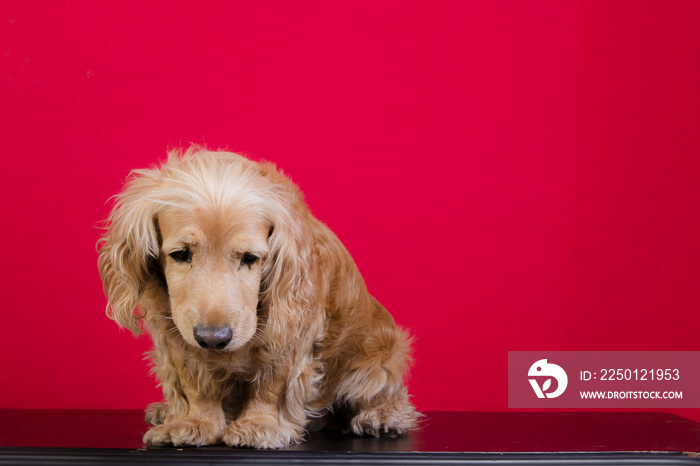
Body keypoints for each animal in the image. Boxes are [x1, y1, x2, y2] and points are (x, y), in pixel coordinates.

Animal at [97, 147, 416, 450]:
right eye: (180, 254)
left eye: (250, 258)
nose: (213, 338)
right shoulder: (175, 331)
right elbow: (194, 381)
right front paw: (194, 422)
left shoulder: (289, 328)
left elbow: (272, 383)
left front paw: (258, 424)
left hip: (379, 361)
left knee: (387, 395)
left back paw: (381, 416)